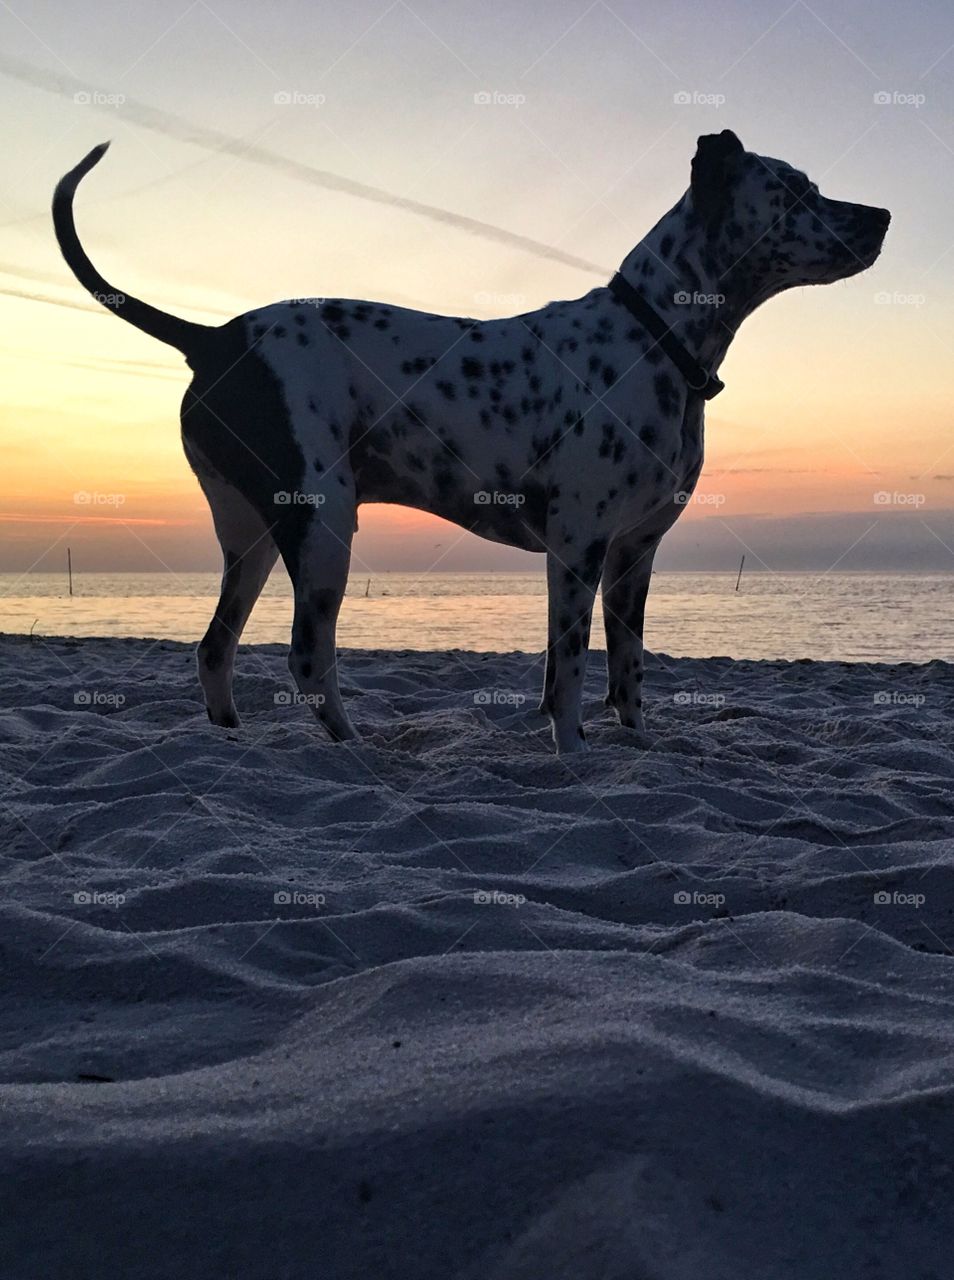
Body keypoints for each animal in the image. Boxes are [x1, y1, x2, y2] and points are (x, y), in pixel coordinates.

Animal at [52, 129, 886, 747]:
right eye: (797, 192)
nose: (880, 215)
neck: (657, 339)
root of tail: (216, 340)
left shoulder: (632, 558)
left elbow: (627, 677)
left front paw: (638, 745)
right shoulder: (577, 550)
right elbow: (570, 680)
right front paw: (573, 756)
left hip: (252, 536)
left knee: (215, 648)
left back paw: (232, 737)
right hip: (323, 529)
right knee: (308, 660)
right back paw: (355, 750)